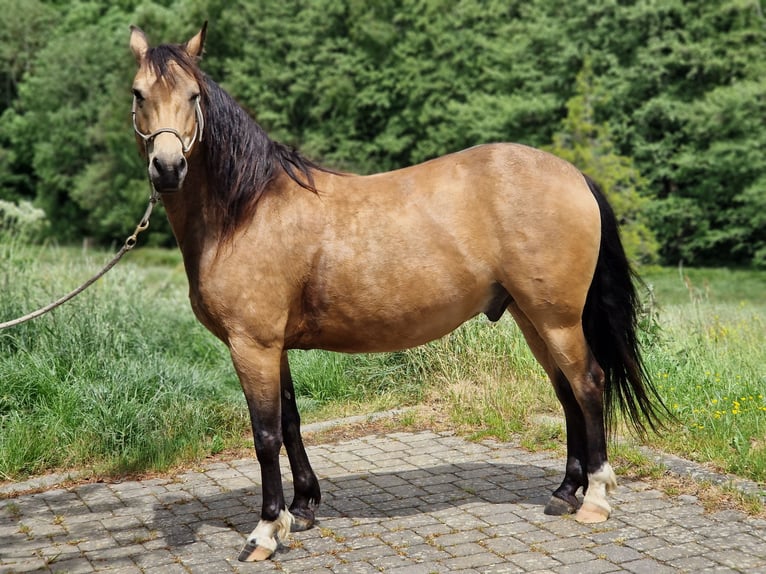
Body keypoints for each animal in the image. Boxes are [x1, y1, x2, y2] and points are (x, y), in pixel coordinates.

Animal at [129, 23, 665, 562]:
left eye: (194, 96)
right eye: (138, 94)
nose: (168, 168)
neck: (247, 210)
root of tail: (574, 175)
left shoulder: (252, 345)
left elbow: (264, 435)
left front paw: (265, 531)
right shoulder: (273, 348)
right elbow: (291, 422)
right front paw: (302, 508)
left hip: (557, 318)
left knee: (589, 384)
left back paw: (594, 499)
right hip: (532, 318)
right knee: (566, 392)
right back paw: (564, 492)